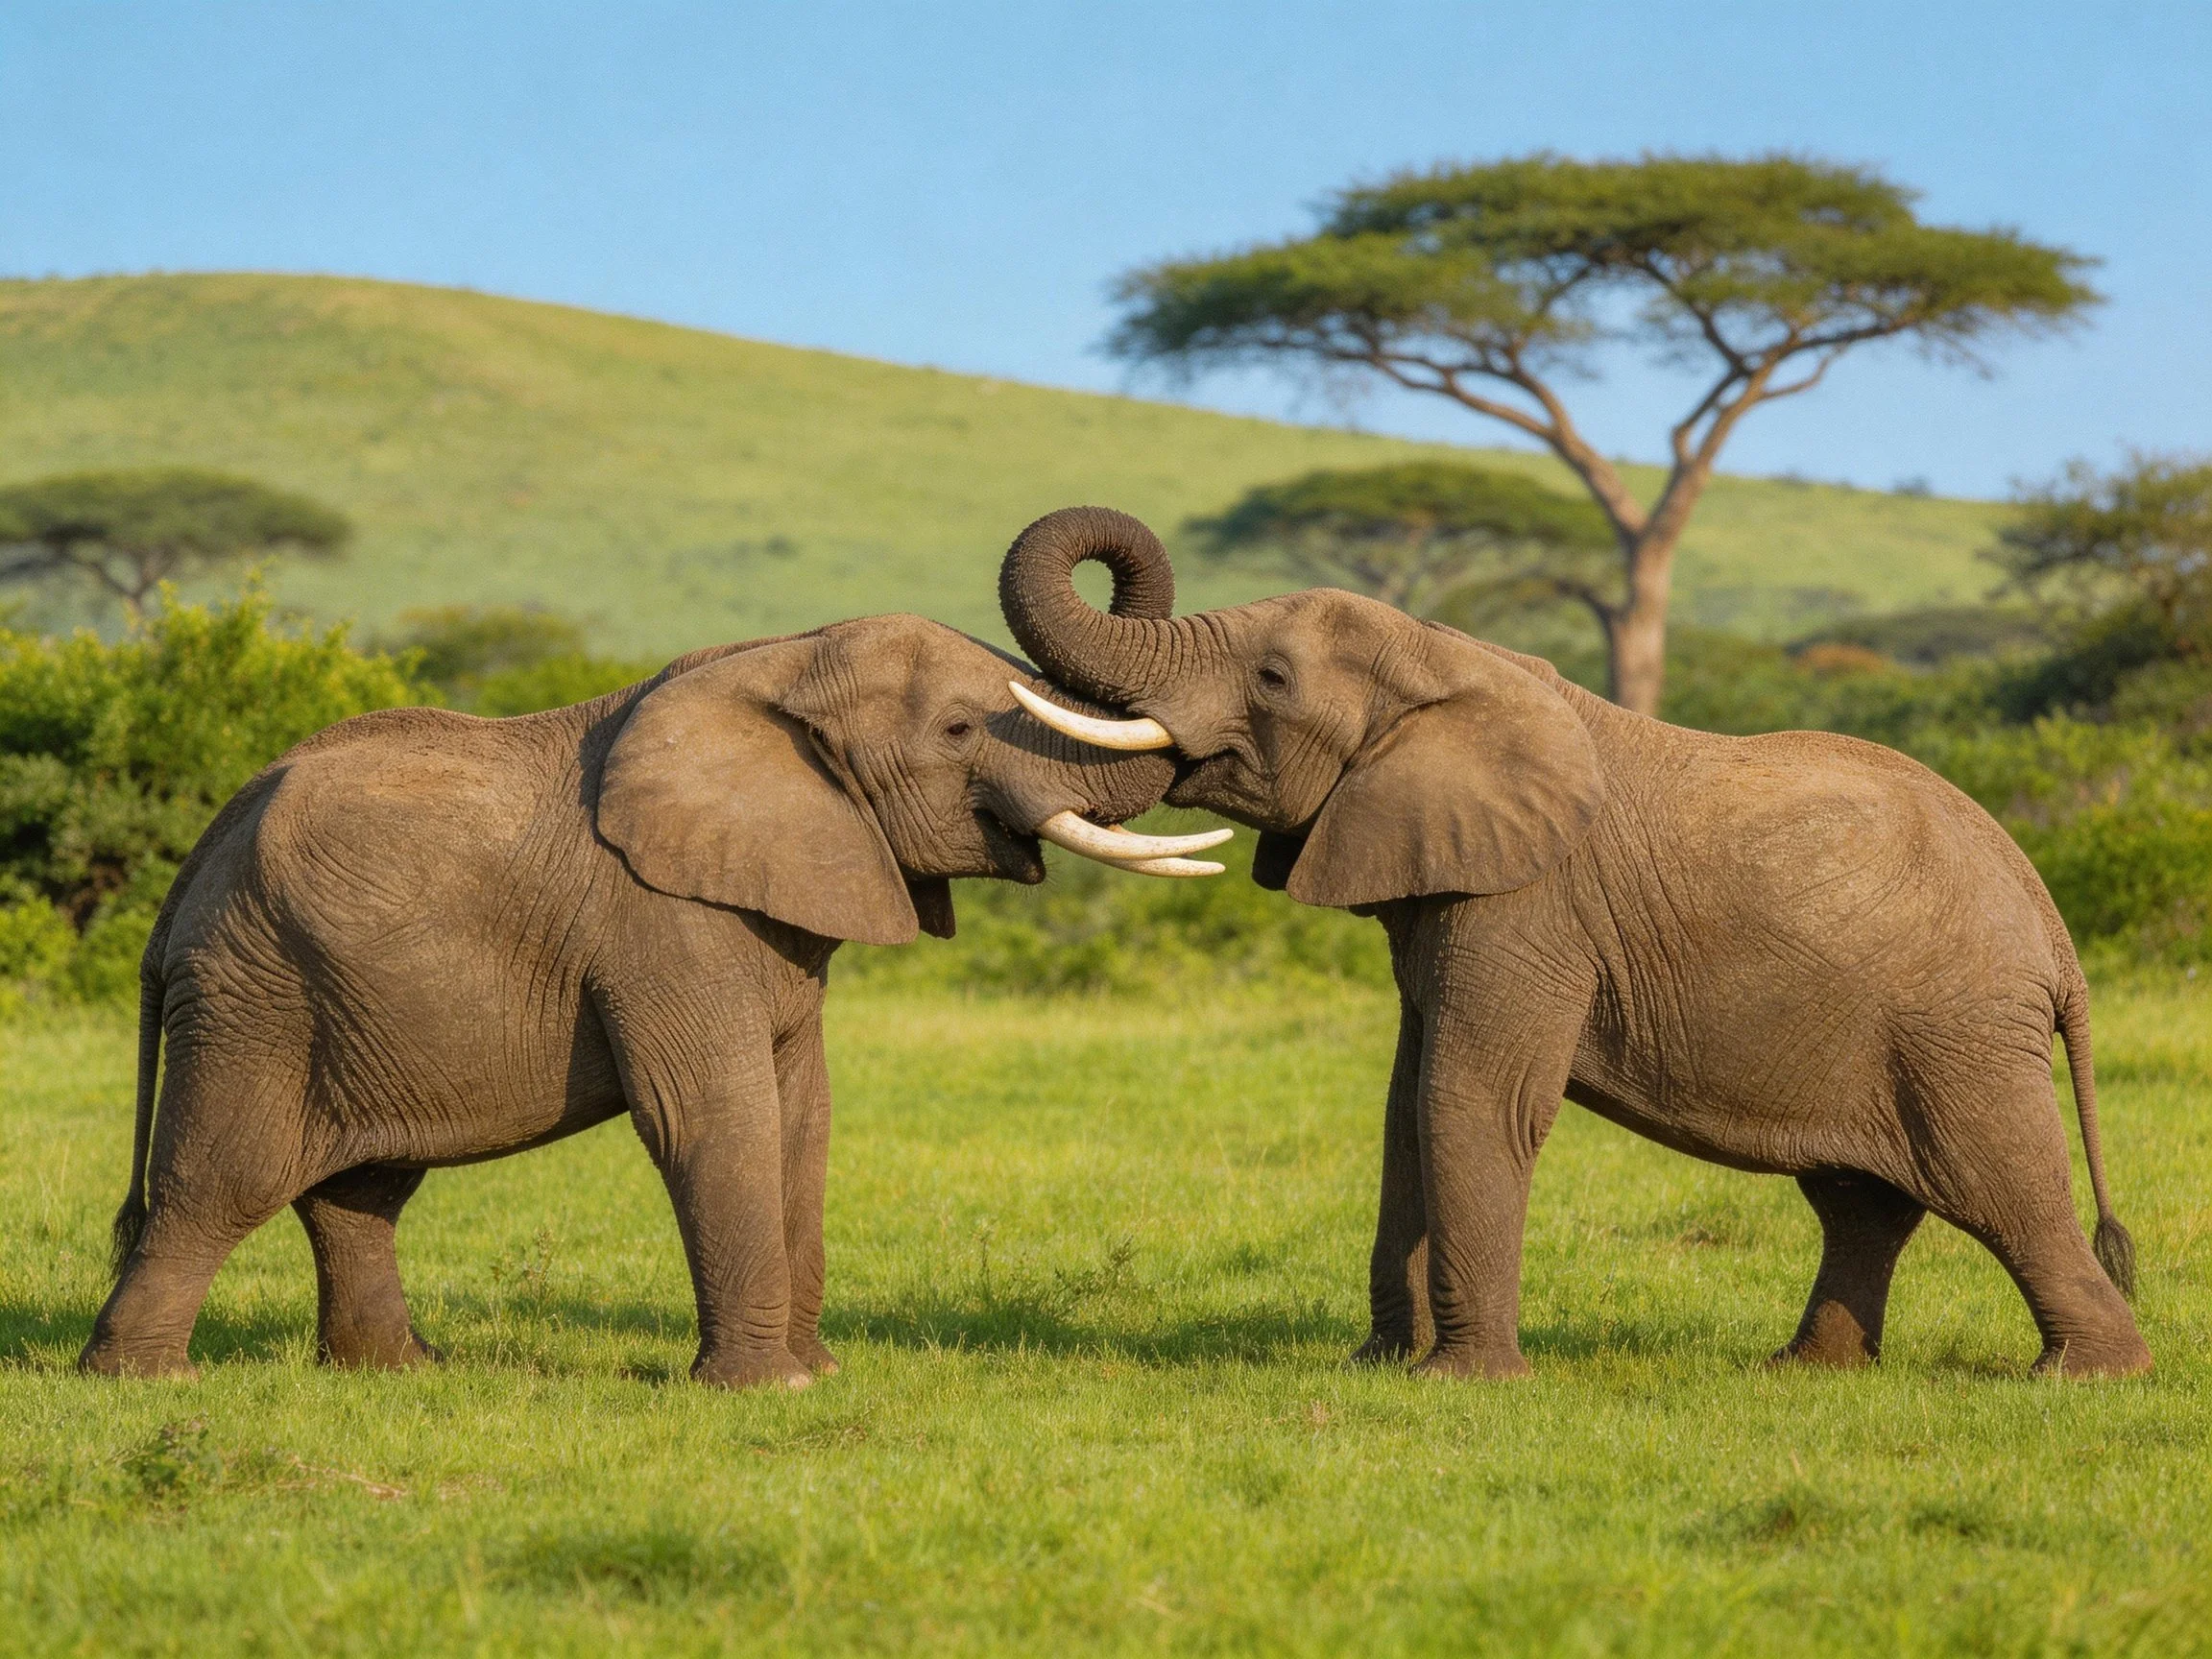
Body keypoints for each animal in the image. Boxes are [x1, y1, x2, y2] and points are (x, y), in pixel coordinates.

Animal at [80, 614, 1230, 1389]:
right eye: (957, 730)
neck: (778, 662)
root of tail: (189, 874)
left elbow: (802, 1120)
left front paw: (817, 1374)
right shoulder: (662, 923)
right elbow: (709, 1114)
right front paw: (769, 1391)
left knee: (358, 1193)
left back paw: (403, 1371)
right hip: (255, 993)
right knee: (222, 1181)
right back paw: (145, 1381)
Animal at [999, 505, 2151, 1380]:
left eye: (1273, 679)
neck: (1449, 656)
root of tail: (2053, 928)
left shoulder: (1528, 905)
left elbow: (1472, 1098)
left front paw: (1463, 1384)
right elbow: (1406, 1109)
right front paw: (1377, 1369)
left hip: (1959, 1025)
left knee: (1998, 1182)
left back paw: (2086, 1377)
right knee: (1861, 1201)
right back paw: (1805, 1371)